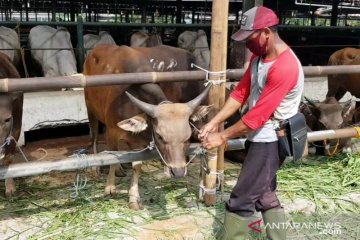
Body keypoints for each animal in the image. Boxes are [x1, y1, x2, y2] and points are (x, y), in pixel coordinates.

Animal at [84, 45, 211, 210]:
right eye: (159, 136)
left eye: (187, 137)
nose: (178, 172)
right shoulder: (112, 132)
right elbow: (111, 157)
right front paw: (110, 187)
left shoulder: (138, 142)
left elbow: (136, 166)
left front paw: (133, 198)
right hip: (90, 109)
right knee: (93, 136)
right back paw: (97, 168)